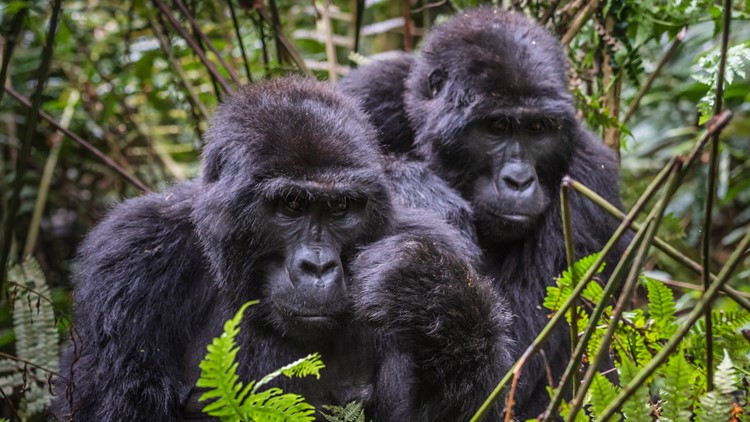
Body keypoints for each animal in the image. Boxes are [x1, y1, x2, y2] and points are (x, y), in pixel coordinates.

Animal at [50, 76, 516, 422]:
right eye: (292, 204)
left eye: (341, 207)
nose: (318, 265)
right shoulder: (131, 256)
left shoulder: (440, 240)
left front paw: (428, 293)